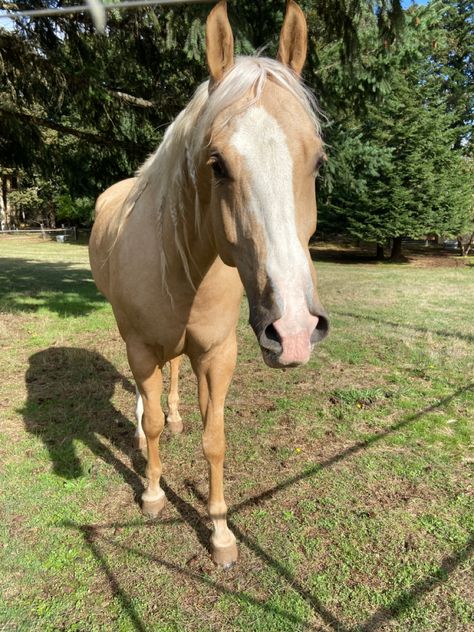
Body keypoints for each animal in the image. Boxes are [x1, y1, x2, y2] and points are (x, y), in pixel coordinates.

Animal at [89, 0, 328, 568]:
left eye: (317, 160)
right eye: (216, 164)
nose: (294, 331)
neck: (186, 265)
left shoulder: (218, 354)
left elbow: (214, 438)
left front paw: (221, 535)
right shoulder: (141, 347)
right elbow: (152, 421)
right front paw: (153, 493)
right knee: (147, 402)